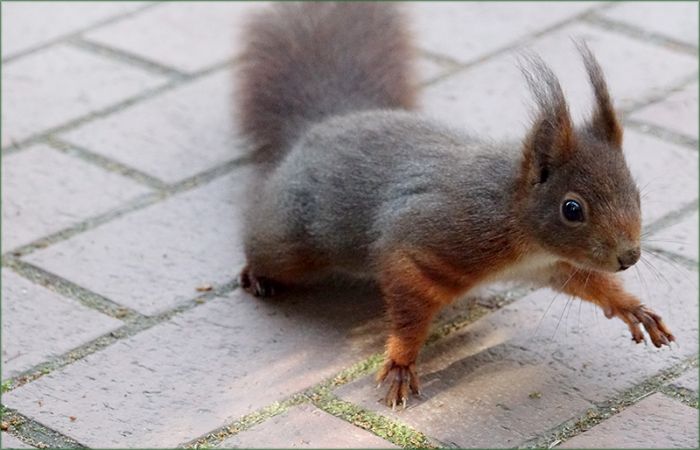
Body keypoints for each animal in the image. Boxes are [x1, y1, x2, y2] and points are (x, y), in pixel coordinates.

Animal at [234, 2, 675, 409]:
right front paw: (401, 362)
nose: (629, 256)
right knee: (267, 248)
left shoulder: (553, 264)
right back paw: (255, 274)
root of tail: (323, 124)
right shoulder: (431, 239)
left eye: (635, 192)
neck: (518, 224)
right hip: (290, 241)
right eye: (572, 209)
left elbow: (588, 282)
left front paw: (631, 307)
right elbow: (409, 306)